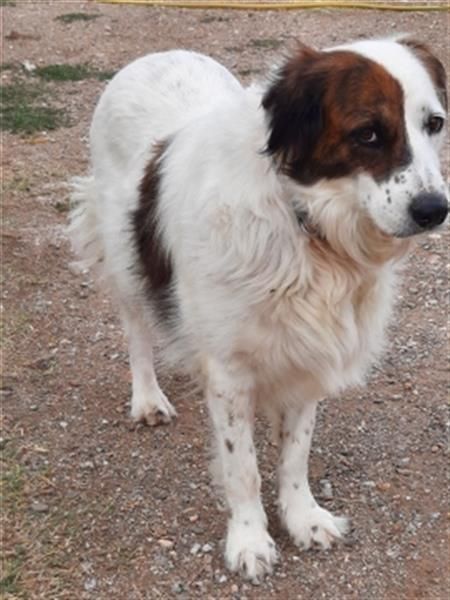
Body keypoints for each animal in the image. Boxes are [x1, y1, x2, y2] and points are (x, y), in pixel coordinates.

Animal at [69, 36, 448, 581]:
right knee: (137, 329)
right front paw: (249, 539)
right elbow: (242, 466)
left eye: (434, 123)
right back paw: (147, 398)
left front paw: (302, 517)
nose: (435, 210)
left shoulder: (311, 356)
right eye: (369, 133)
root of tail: (157, 55)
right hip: (125, 258)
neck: (309, 231)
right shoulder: (230, 373)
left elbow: (295, 454)